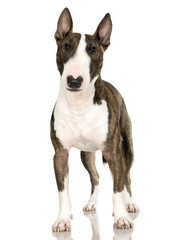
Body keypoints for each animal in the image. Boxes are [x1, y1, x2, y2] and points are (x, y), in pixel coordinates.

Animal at [50, 7, 139, 232]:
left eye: (92, 50)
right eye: (66, 46)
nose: (74, 80)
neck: (80, 105)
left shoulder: (113, 152)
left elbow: (118, 187)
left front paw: (121, 217)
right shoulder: (60, 153)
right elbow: (62, 191)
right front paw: (63, 219)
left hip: (127, 147)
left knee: (126, 177)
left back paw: (129, 204)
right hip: (86, 153)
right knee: (96, 176)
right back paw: (92, 202)